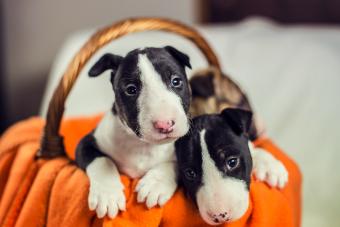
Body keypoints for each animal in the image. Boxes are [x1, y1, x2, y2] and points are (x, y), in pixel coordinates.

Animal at [77, 45, 193, 218]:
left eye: (176, 81)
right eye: (131, 89)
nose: (164, 124)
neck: (142, 144)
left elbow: (176, 163)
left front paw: (155, 185)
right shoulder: (86, 143)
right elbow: (103, 161)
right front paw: (107, 195)